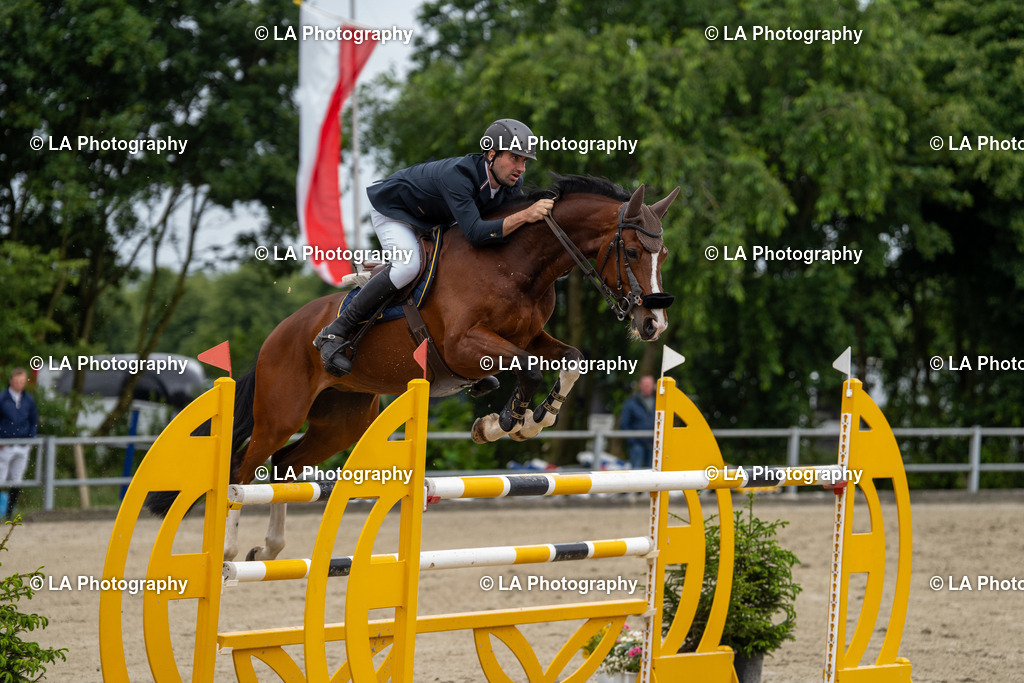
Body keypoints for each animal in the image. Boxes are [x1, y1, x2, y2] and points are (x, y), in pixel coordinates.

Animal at [155, 175, 679, 562]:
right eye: (634, 251)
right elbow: (527, 371)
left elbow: (570, 361)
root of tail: (277, 334)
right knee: (244, 470)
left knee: (285, 465)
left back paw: (270, 549)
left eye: (665, 254)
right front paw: (506, 422)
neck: (515, 264)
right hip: (281, 412)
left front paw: (532, 418)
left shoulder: (531, 338)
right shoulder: (465, 346)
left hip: (343, 420)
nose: (653, 324)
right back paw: (229, 551)